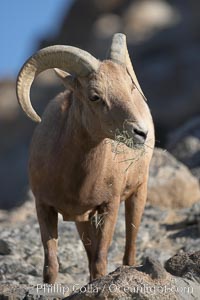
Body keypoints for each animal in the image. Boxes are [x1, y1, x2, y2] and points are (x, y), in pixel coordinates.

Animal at [16, 33, 155, 284]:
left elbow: (100, 263)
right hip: (83, 221)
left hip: (138, 193)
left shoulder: (109, 206)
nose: (141, 132)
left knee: (129, 248)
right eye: (95, 96)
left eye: (129, 87)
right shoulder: (44, 208)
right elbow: (51, 266)